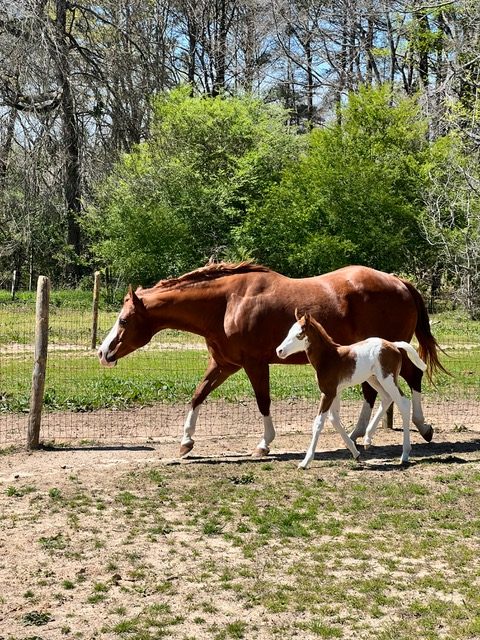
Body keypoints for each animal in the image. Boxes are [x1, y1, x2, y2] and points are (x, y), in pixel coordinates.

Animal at [278, 312, 428, 468]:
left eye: (299, 335)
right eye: (289, 331)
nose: (279, 351)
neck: (328, 358)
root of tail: (393, 345)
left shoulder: (327, 393)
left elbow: (318, 423)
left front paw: (305, 461)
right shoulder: (335, 392)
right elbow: (334, 420)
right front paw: (356, 453)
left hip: (387, 379)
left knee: (404, 403)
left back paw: (405, 455)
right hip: (373, 379)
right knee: (387, 398)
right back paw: (367, 439)